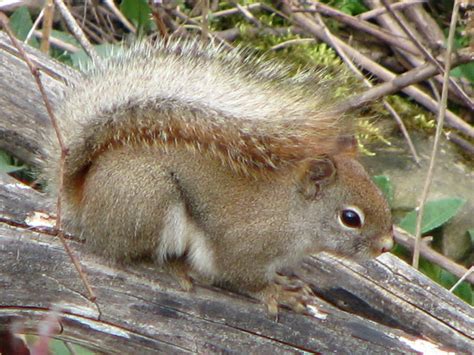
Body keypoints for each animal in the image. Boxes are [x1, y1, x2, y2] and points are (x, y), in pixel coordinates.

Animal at [42, 39, 394, 318]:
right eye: (350, 218)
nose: (386, 245)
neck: (292, 212)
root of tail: (82, 199)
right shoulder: (244, 247)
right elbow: (244, 277)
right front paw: (277, 293)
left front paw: (282, 281)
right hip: (149, 201)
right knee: (129, 252)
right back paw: (177, 266)